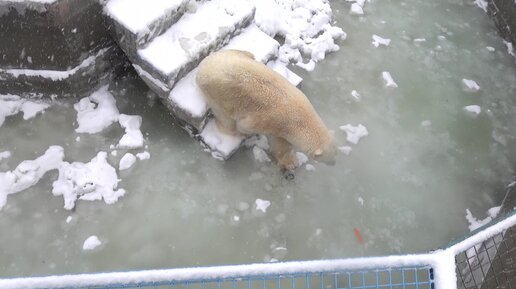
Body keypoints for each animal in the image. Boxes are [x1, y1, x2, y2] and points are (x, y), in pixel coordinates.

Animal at [196, 49, 336, 171]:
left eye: (336, 152)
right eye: (328, 157)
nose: (334, 163)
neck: (300, 119)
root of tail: (203, 65)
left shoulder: (285, 126)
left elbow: (282, 143)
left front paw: (290, 161)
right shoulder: (270, 120)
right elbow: (246, 125)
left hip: (232, 54)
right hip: (219, 92)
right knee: (225, 117)